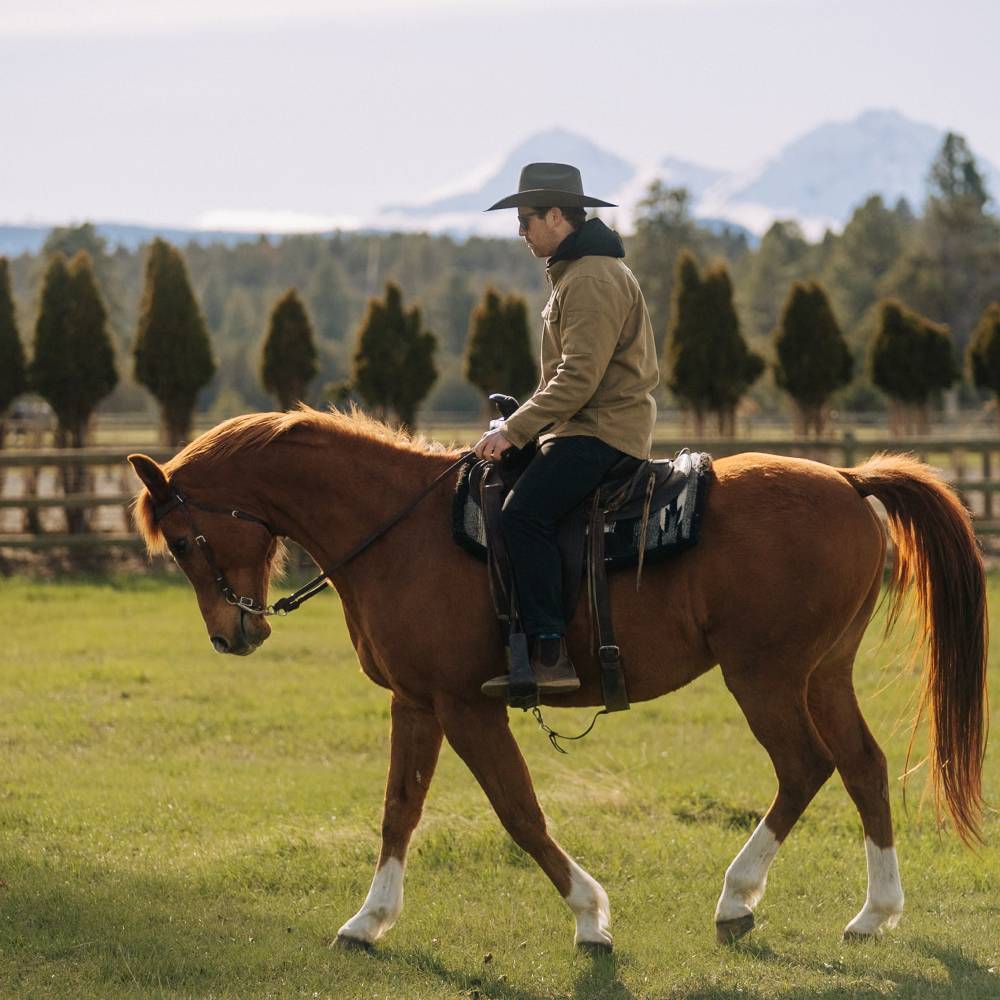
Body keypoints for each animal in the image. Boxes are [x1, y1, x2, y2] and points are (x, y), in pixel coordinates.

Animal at [129, 408, 988, 952]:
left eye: (183, 539)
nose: (231, 633)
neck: (399, 529)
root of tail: (847, 479)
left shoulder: (466, 708)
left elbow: (519, 812)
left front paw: (589, 916)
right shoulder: (416, 702)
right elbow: (399, 811)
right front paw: (368, 922)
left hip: (767, 677)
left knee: (805, 767)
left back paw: (737, 898)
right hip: (822, 675)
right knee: (862, 767)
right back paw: (874, 913)